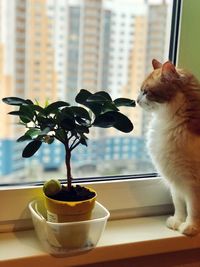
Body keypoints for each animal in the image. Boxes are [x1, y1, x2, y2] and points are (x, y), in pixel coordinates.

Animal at [138, 58, 200, 237]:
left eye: (145, 92)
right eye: (140, 91)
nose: (136, 100)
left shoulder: (192, 183)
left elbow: (193, 209)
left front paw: (190, 227)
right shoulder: (176, 179)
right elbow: (179, 204)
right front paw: (177, 221)